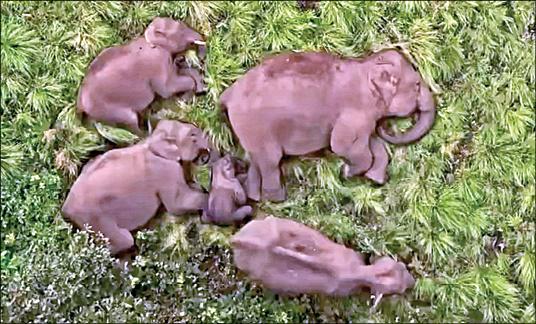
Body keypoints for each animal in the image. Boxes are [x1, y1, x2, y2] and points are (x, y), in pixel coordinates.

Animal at [61, 119, 214, 256]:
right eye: (192, 135)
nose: (206, 157)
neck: (153, 139)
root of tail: (66, 208)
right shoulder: (164, 171)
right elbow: (177, 205)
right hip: (96, 219)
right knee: (123, 240)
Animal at [77, 16, 207, 135]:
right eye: (180, 29)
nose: (201, 58)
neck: (148, 38)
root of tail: (80, 104)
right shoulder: (157, 62)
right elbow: (166, 89)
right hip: (109, 110)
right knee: (131, 122)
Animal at [220, 48, 438, 201]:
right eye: (417, 86)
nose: (386, 127)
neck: (365, 65)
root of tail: (228, 94)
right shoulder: (354, 111)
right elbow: (342, 145)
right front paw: (346, 173)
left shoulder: (364, 118)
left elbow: (371, 144)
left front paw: (374, 179)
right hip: (257, 126)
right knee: (270, 161)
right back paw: (278, 198)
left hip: (250, 130)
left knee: (256, 159)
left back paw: (255, 196)